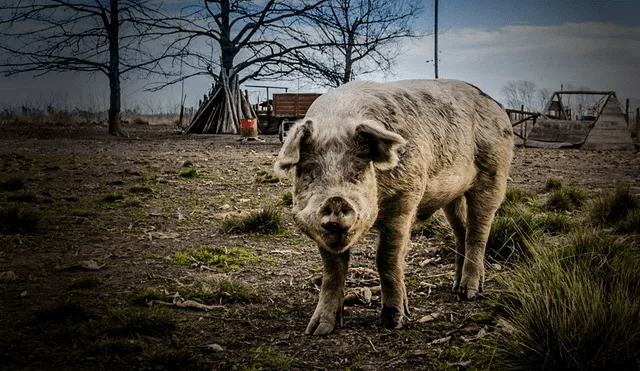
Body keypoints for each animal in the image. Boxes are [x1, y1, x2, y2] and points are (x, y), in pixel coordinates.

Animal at [272, 79, 512, 338]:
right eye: (308, 170)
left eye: (358, 170)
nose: (335, 201)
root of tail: (496, 105)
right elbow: (332, 270)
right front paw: (318, 329)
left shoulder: (405, 200)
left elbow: (387, 258)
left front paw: (394, 321)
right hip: (453, 194)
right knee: (462, 231)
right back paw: (456, 287)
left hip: (494, 173)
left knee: (479, 232)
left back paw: (469, 293)